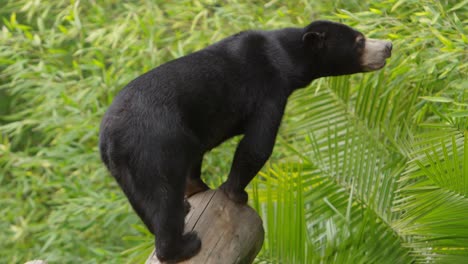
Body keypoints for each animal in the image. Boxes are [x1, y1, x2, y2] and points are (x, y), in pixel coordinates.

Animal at [98, 19, 392, 260]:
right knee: (163, 196)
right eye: (359, 41)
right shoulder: (269, 90)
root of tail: (110, 138)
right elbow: (258, 145)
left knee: (145, 202)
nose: (388, 46)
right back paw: (184, 245)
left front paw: (199, 189)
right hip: (155, 146)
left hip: (125, 170)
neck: (288, 57)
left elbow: (198, 158)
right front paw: (236, 193)